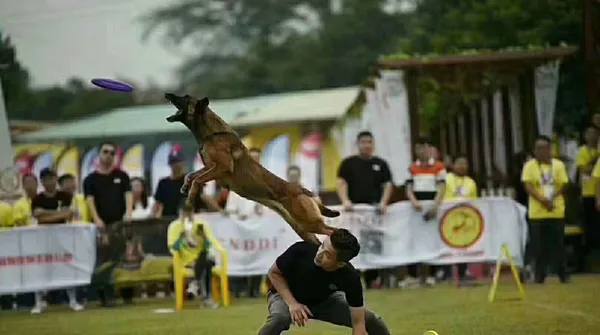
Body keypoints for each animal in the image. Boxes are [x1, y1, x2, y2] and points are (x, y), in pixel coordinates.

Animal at [164, 93, 340, 245]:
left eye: (185, 97)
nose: (167, 94)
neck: (212, 133)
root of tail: (304, 191)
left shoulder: (222, 167)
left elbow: (198, 180)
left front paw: (190, 198)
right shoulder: (211, 168)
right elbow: (191, 175)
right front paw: (185, 187)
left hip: (309, 222)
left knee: (333, 230)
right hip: (303, 229)